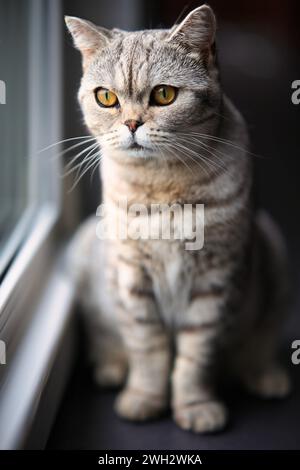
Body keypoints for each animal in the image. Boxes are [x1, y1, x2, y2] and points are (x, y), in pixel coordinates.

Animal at [65, 5, 290, 436]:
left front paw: (196, 406)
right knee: (105, 335)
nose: (131, 124)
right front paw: (144, 399)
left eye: (164, 95)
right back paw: (111, 367)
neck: (162, 186)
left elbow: (195, 358)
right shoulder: (132, 278)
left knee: (260, 340)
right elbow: (148, 350)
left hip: (273, 251)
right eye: (107, 98)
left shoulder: (215, 279)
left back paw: (265, 375)